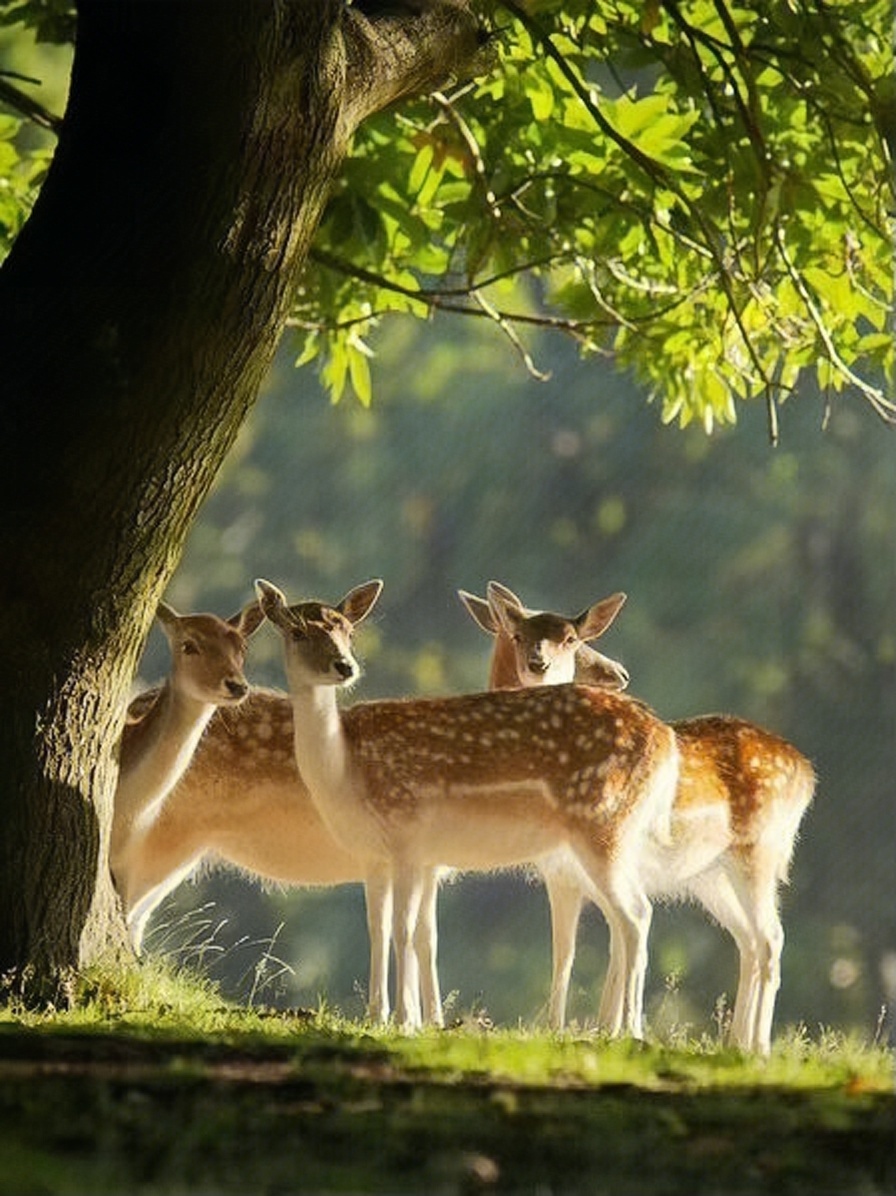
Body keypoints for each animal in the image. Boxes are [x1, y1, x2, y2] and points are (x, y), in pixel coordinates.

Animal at [256, 577, 681, 1036]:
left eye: (348, 632)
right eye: (296, 631)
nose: (344, 666)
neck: (342, 772)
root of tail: (666, 740)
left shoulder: (409, 839)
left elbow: (405, 929)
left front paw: (405, 1021)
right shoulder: (375, 855)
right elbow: (380, 928)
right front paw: (378, 1017)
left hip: (602, 822)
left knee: (636, 914)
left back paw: (630, 1030)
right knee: (624, 918)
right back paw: (613, 1027)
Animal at [461, 580, 816, 1053]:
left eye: (573, 639)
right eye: (518, 635)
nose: (618, 674)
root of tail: (807, 774)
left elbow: (589, 946)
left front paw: (582, 1029)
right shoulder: (564, 870)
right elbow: (581, 948)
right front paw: (595, 1028)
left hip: (758, 852)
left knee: (770, 938)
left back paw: (757, 1045)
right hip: (711, 877)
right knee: (749, 940)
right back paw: (736, 1042)